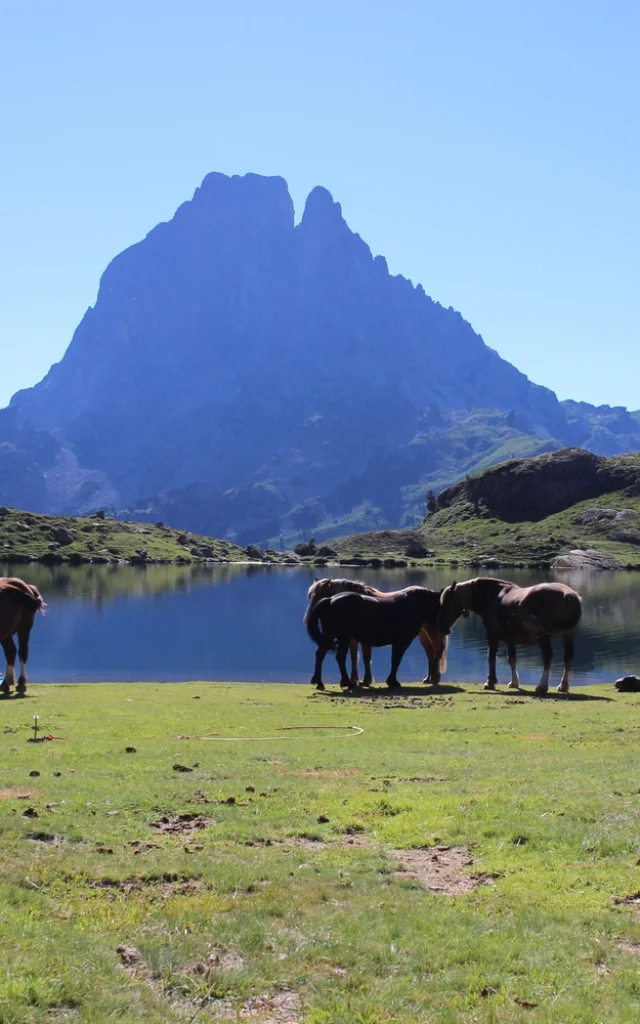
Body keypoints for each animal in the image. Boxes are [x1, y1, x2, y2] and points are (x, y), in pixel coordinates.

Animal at [305, 577, 446, 687]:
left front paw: (365, 680)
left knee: (434, 651)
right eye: (309, 596)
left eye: (317, 594)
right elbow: (362, 658)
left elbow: (368, 658)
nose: (306, 618)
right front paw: (363, 680)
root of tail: (329, 601)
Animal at [437, 577, 582, 695]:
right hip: (568, 636)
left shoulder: (492, 635)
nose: (441, 626)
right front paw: (514, 683)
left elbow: (491, 657)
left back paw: (542, 686)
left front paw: (490, 682)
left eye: (447, 603)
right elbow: (511, 659)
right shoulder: (510, 639)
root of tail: (568, 594)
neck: (492, 596)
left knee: (548, 658)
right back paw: (563, 686)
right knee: (568, 658)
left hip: (544, 638)